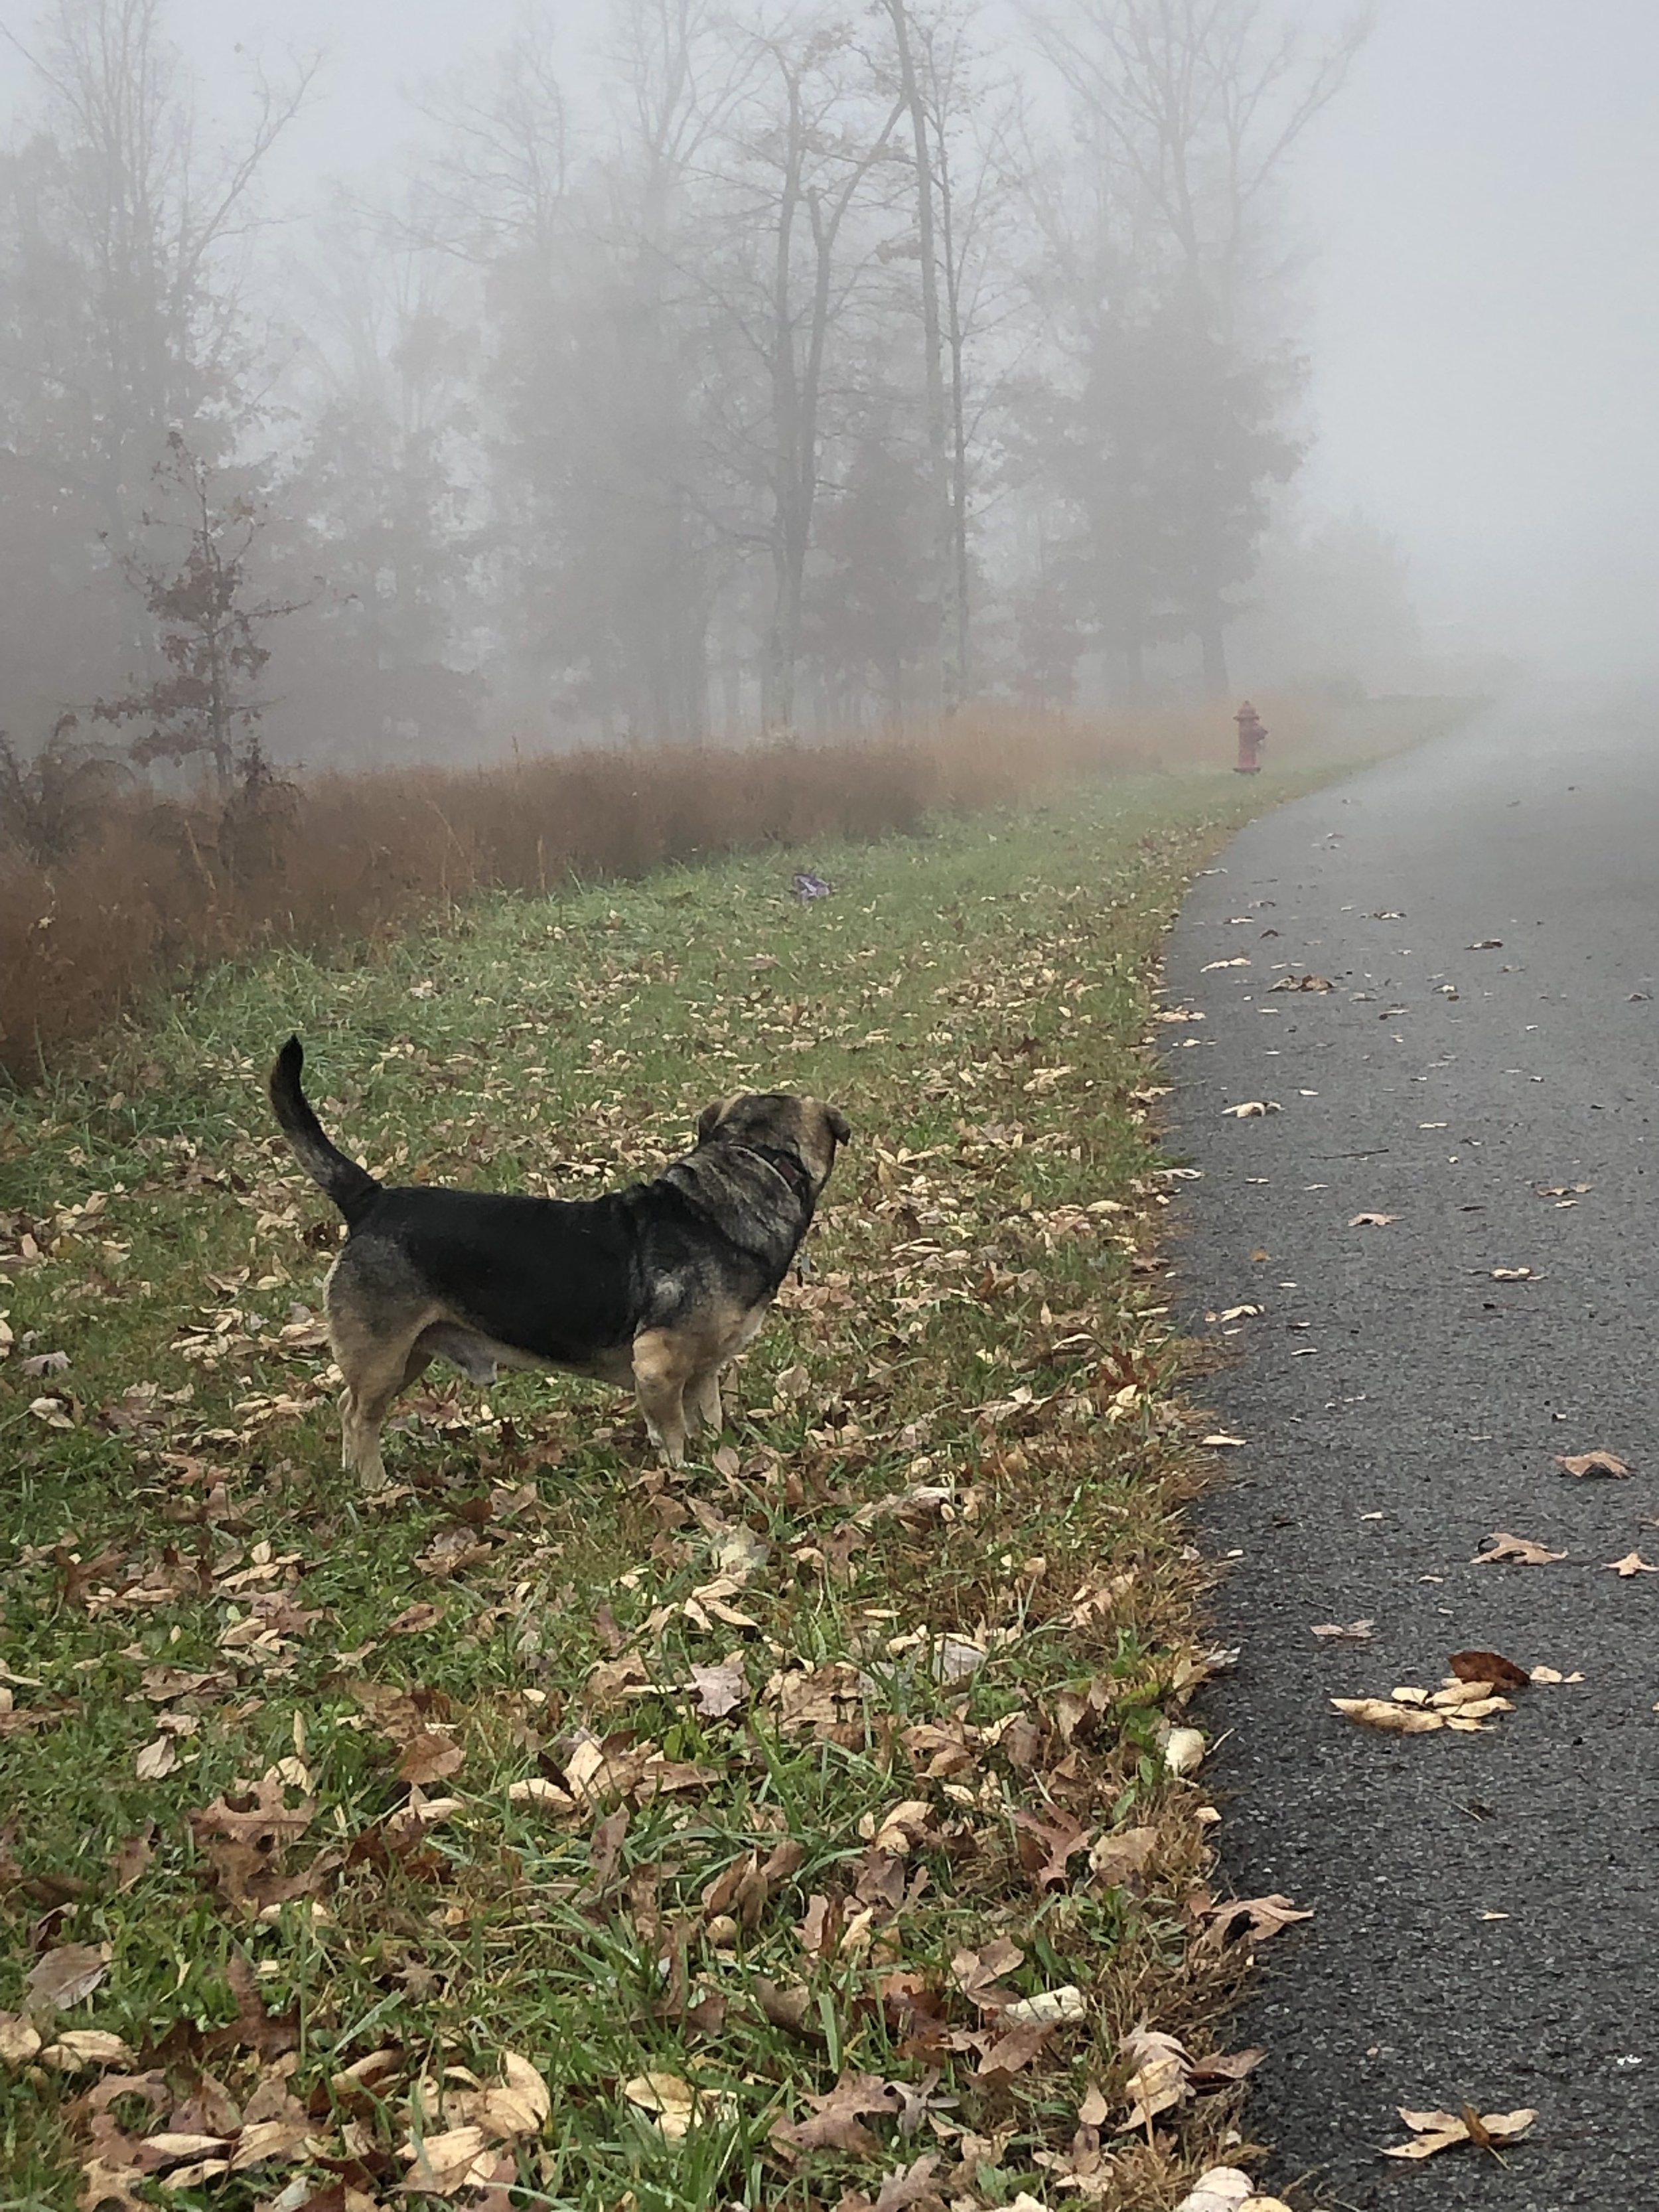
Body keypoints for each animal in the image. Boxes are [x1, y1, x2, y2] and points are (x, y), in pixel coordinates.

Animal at [269, 1035, 858, 1486]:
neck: (744, 1172)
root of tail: (370, 1200)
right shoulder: (659, 1364)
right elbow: (672, 1434)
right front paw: (682, 1473)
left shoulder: (705, 1370)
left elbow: (709, 1418)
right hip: (381, 1357)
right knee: (358, 1418)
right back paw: (375, 1485)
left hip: (407, 1354)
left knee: (352, 1411)